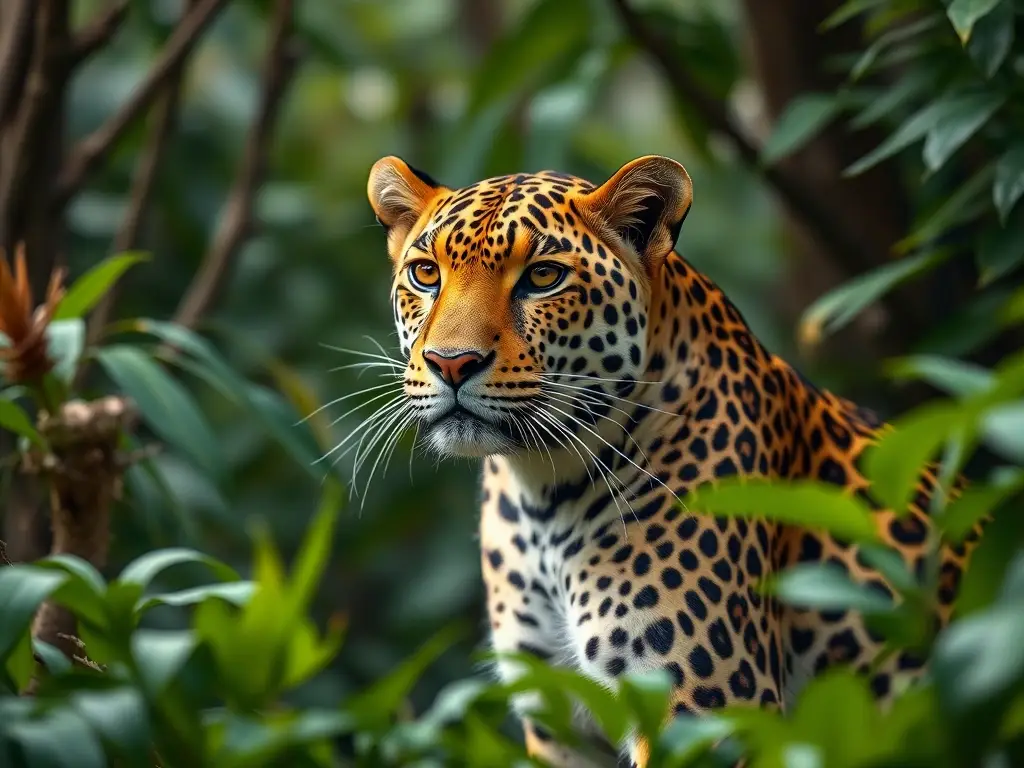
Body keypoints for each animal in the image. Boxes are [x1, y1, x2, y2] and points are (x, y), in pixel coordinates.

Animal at [364, 154, 980, 767]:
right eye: (426, 274)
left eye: (542, 277)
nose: (451, 362)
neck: (542, 489)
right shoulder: (558, 719)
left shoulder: (706, 712)